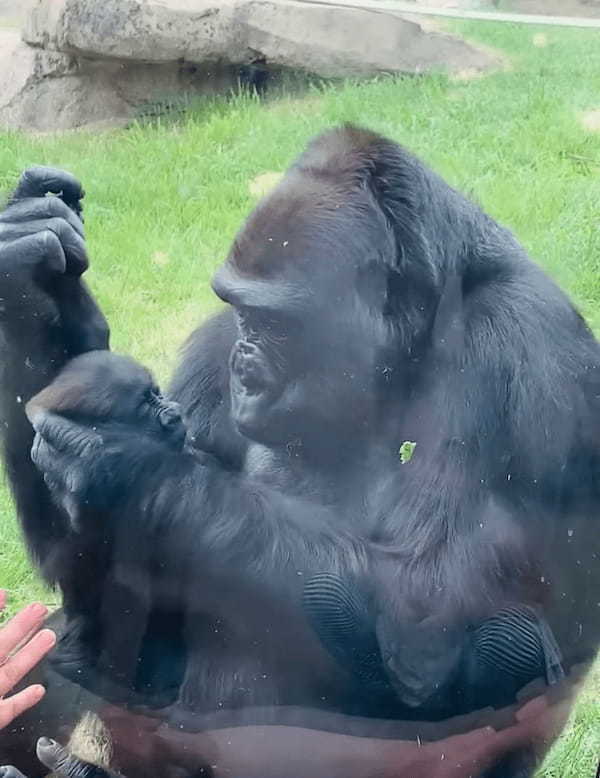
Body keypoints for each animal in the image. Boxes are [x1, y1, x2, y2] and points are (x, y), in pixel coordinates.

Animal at [0, 124, 596, 772]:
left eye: (276, 322)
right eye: (238, 311)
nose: (243, 364)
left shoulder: (519, 350)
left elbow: (426, 609)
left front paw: (126, 466)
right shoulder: (212, 346)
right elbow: (89, 585)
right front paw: (32, 272)